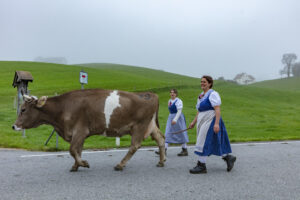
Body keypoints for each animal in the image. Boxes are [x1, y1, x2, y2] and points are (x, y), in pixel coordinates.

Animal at [12, 89, 166, 172]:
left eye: (23, 109)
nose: (14, 126)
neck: (63, 108)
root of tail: (148, 94)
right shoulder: (78, 133)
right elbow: (77, 150)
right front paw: (75, 166)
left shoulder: (80, 131)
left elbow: (72, 150)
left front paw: (83, 163)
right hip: (151, 125)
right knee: (160, 139)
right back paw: (161, 161)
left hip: (140, 125)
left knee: (134, 145)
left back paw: (120, 165)